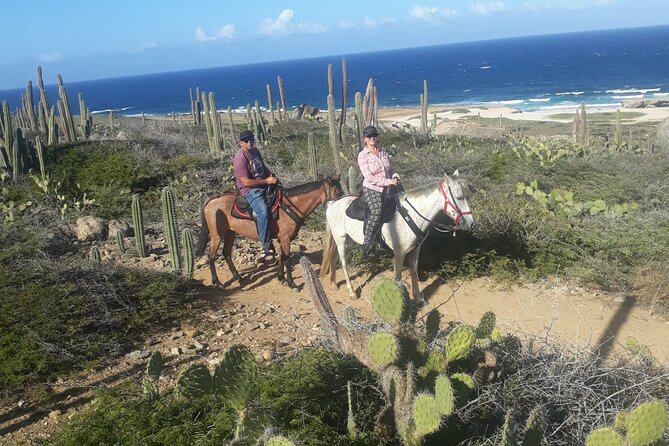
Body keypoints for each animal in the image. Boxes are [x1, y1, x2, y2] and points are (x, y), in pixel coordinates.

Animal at [196, 177, 342, 290]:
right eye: (336, 195)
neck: (290, 206)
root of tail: (211, 200)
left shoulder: (282, 239)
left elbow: (281, 257)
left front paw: (281, 278)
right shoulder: (285, 238)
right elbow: (287, 259)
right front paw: (292, 283)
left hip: (230, 233)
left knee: (226, 253)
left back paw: (238, 277)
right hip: (217, 236)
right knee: (211, 256)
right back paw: (217, 282)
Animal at [320, 171, 472, 300]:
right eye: (459, 197)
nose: (470, 222)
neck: (411, 215)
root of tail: (333, 202)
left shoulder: (416, 250)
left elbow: (413, 270)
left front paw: (418, 297)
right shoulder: (399, 253)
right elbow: (397, 278)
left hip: (348, 239)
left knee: (333, 257)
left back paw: (333, 283)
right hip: (341, 239)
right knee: (343, 262)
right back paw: (352, 292)